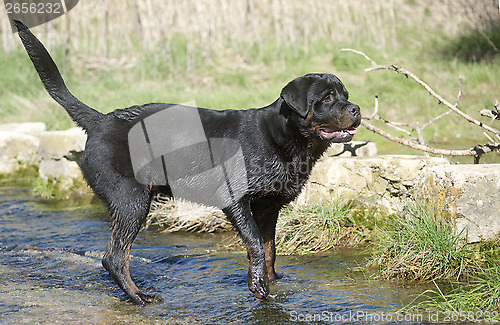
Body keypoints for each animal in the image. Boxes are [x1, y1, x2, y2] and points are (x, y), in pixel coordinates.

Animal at [15, 20, 360, 304]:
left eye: (344, 94)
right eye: (327, 98)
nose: (356, 108)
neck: (283, 137)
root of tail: (99, 121)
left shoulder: (268, 206)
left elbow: (268, 249)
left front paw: (272, 280)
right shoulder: (235, 200)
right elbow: (253, 243)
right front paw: (257, 284)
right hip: (131, 200)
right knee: (114, 258)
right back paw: (139, 296)